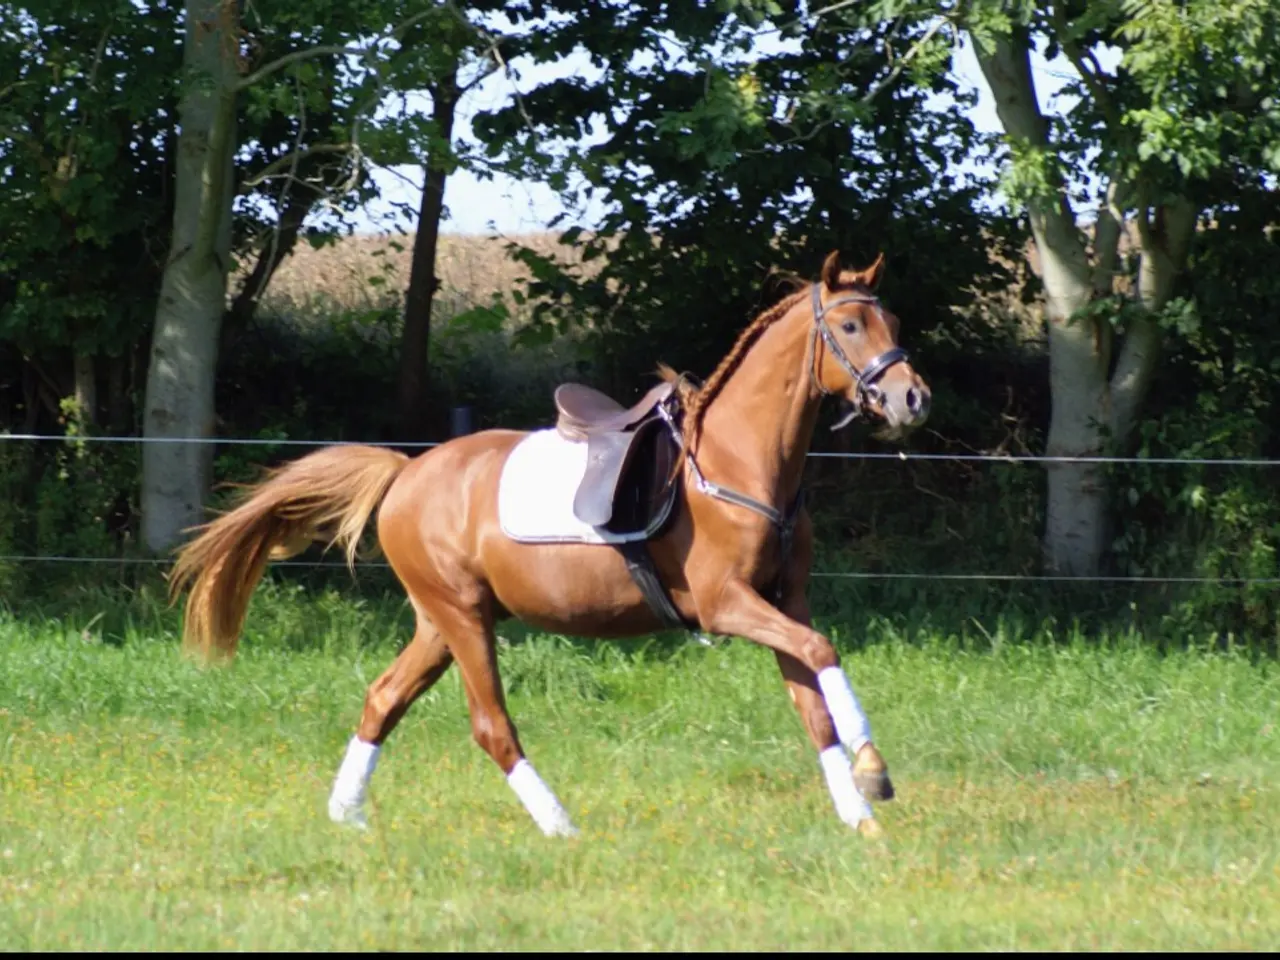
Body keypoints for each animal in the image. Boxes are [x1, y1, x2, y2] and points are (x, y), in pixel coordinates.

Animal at [169, 250, 931, 839]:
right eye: (851, 324)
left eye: (892, 323)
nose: (912, 399)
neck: (737, 464)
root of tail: (406, 473)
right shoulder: (727, 605)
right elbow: (823, 655)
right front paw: (874, 772)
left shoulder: (783, 601)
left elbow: (814, 704)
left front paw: (859, 815)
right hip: (463, 619)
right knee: (491, 726)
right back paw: (561, 826)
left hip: (440, 623)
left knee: (384, 699)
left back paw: (347, 814)